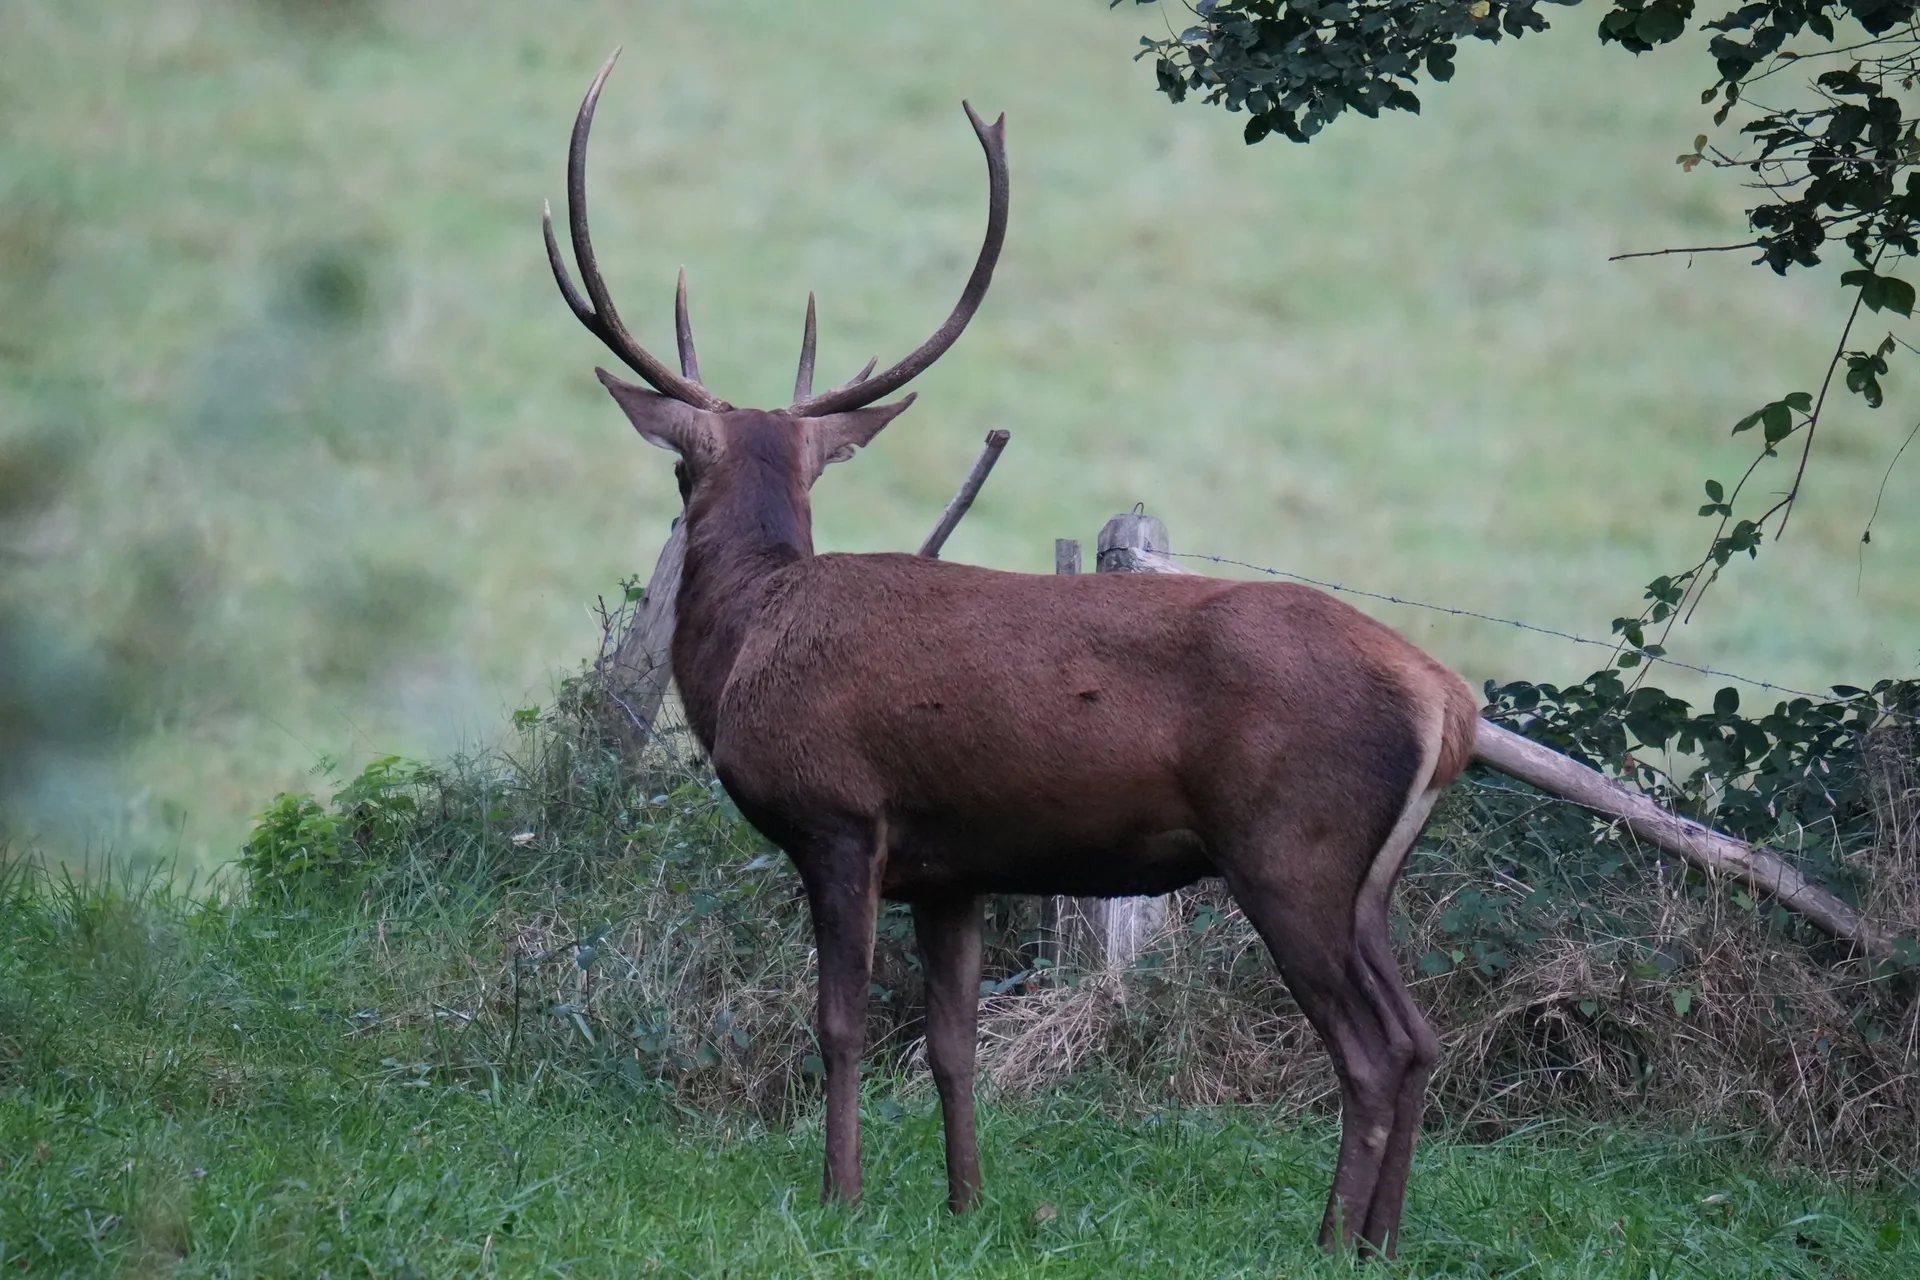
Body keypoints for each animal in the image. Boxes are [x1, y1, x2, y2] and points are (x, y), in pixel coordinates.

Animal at [538, 51, 1771, 1258]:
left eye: (680, 467)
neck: (749, 641)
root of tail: (1451, 703)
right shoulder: (953, 865)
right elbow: (951, 1040)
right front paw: (965, 1202)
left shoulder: (839, 817)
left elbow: (840, 1023)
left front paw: (840, 1199)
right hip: (1367, 875)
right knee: (1420, 1035)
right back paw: (1379, 1236)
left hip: (1289, 844)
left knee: (1371, 1047)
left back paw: (1329, 1237)